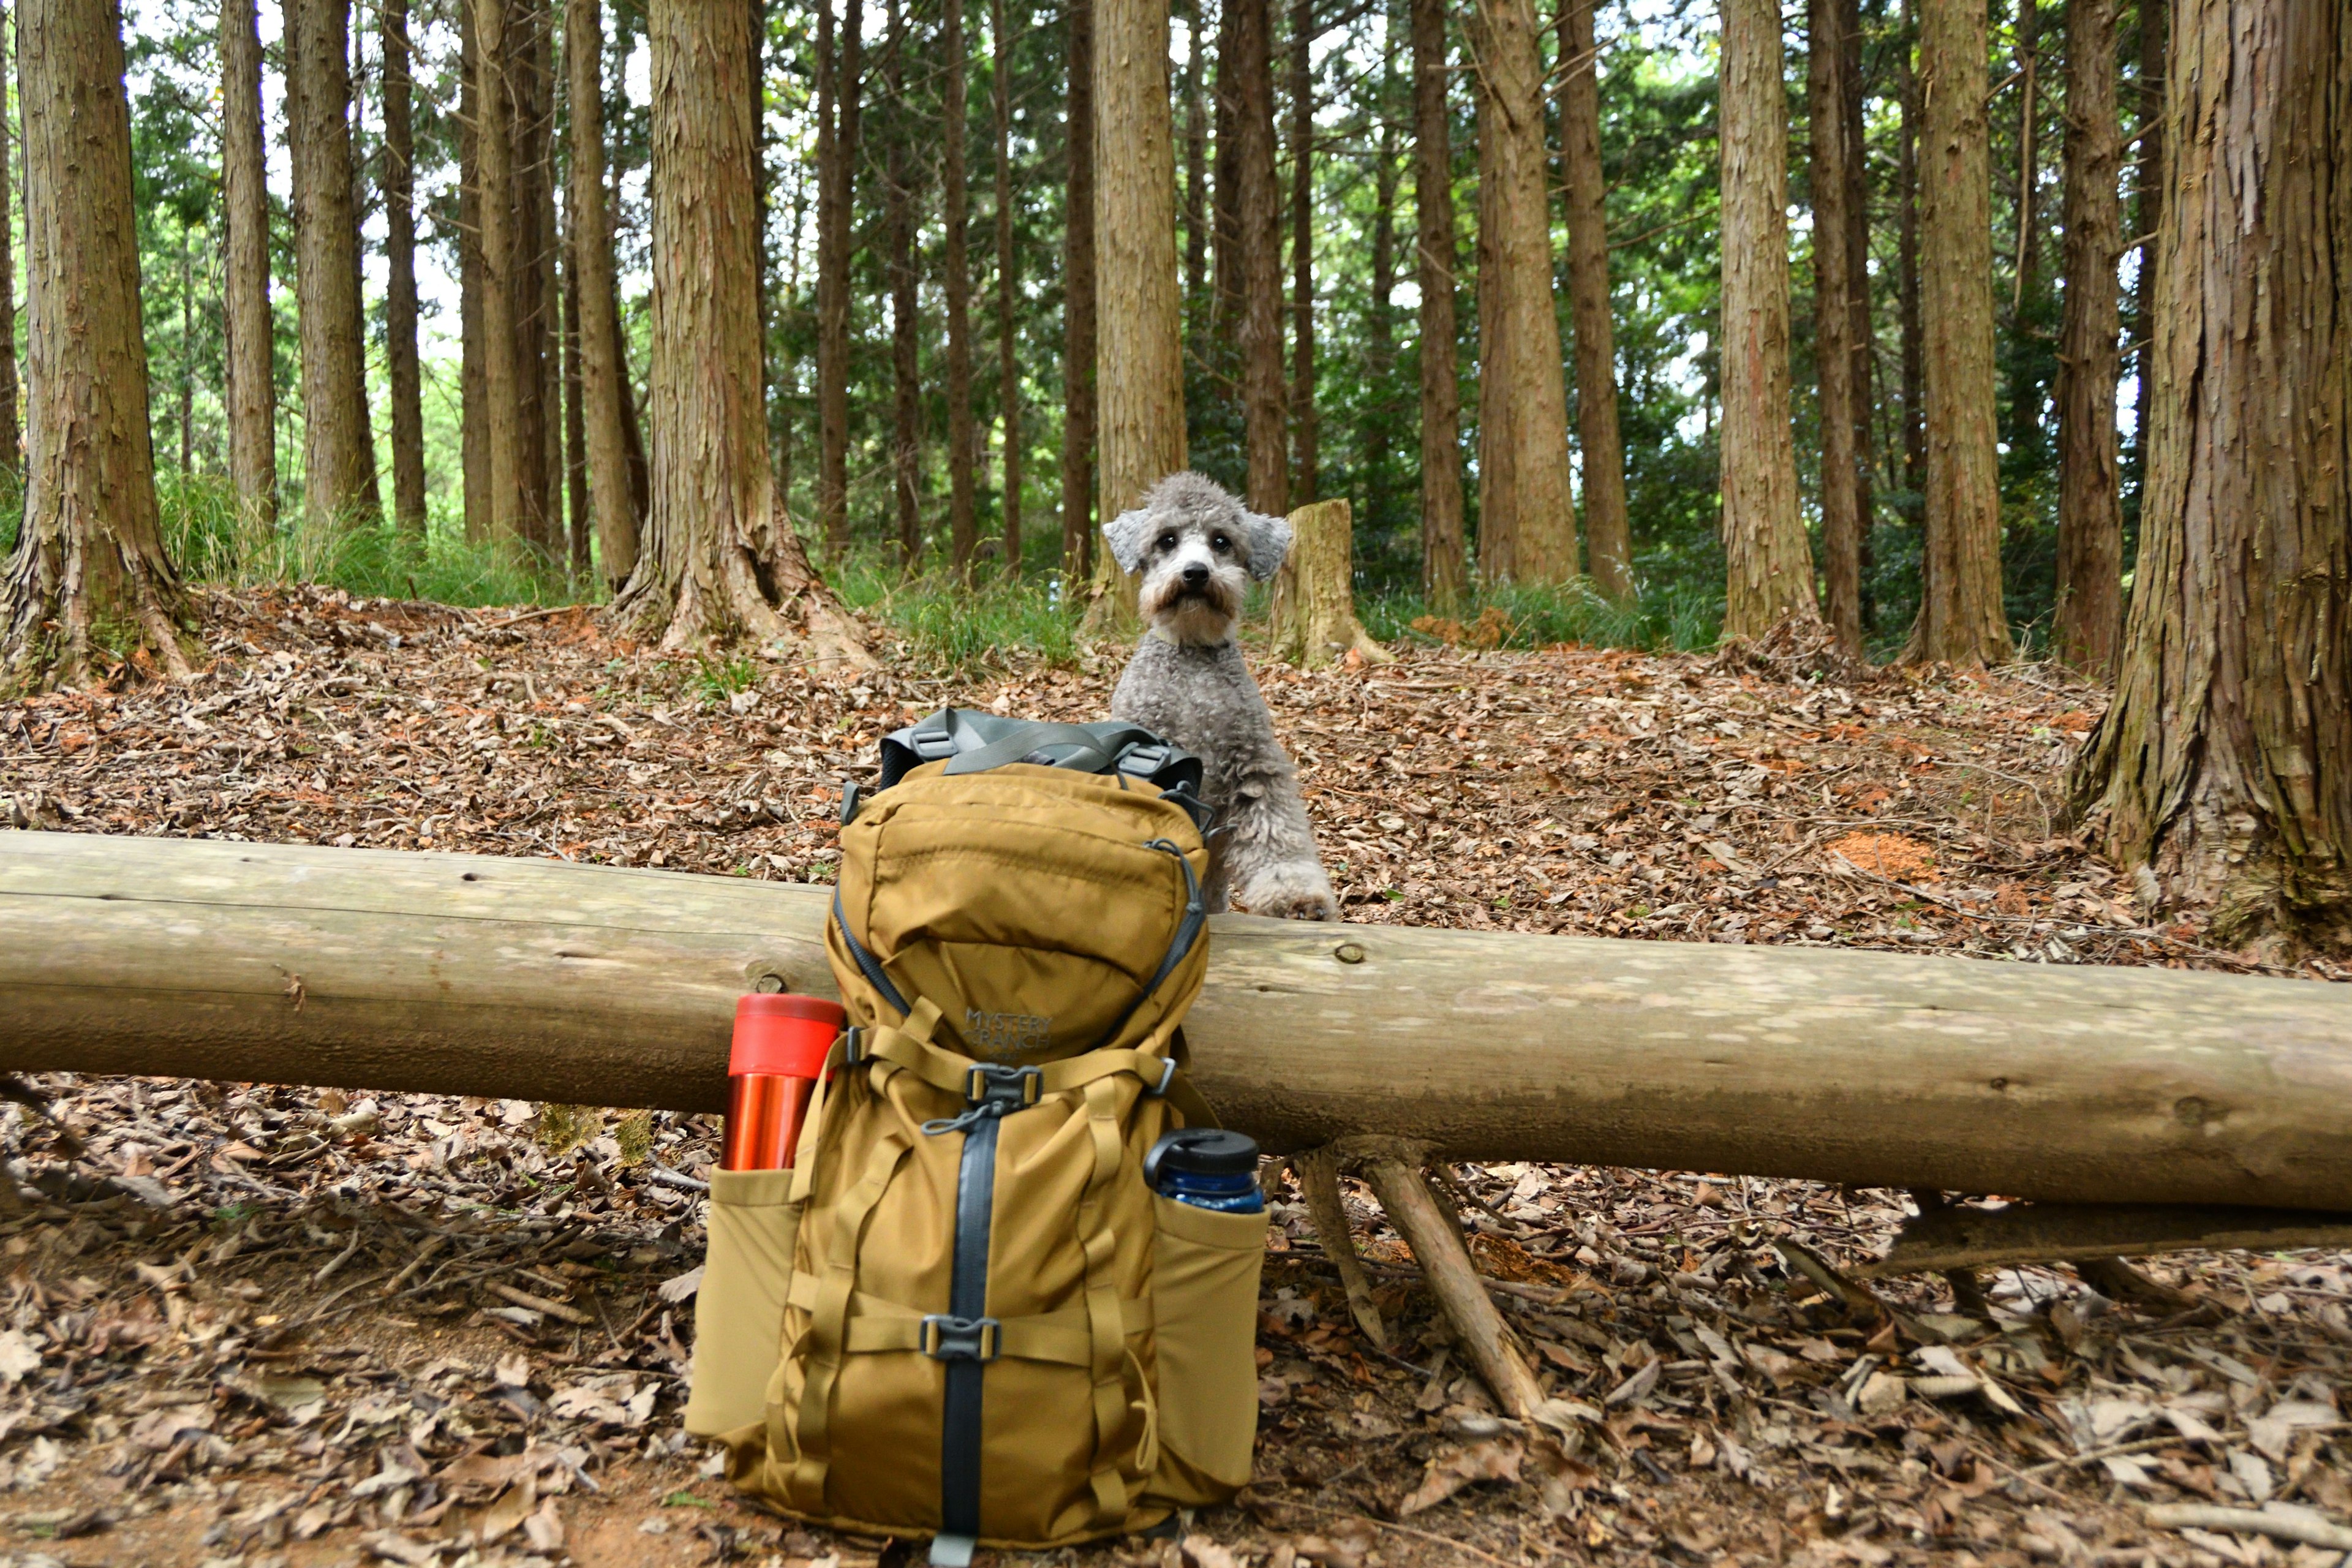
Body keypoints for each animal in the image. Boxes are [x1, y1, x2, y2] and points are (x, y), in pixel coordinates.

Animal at [1101, 472, 1345, 926]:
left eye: (1221, 541)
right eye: (1167, 540)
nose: (1196, 573)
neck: (1193, 654)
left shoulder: (1254, 765)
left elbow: (1275, 836)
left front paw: (1296, 897)